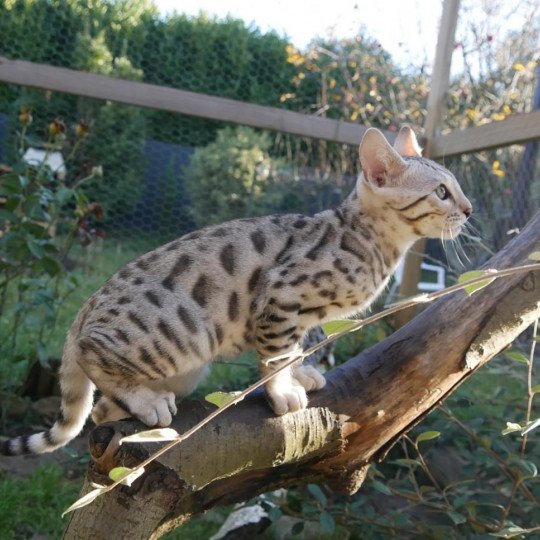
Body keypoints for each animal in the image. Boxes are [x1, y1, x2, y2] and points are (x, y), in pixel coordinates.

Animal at [0, 126, 470, 456]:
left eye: (457, 187)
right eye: (441, 192)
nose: (469, 209)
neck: (371, 242)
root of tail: (87, 304)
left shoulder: (300, 315)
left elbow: (298, 347)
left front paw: (303, 372)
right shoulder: (281, 296)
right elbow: (276, 357)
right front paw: (283, 394)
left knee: (96, 410)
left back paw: (123, 405)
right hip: (181, 334)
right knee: (90, 351)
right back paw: (144, 401)